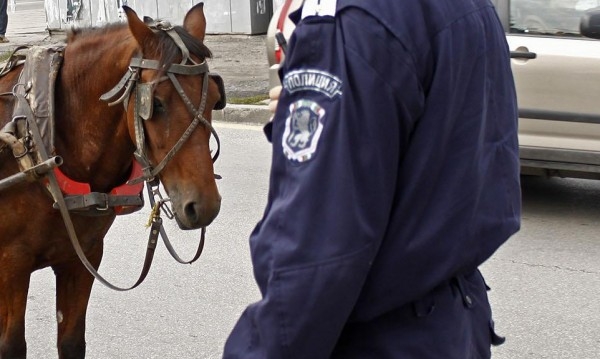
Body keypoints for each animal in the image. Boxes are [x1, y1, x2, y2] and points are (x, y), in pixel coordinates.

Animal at [0, 3, 223, 359]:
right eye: (155, 103)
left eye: (216, 98)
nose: (204, 205)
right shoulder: (11, 267)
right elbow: (11, 346)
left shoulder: (83, 257)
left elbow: (72, 341)